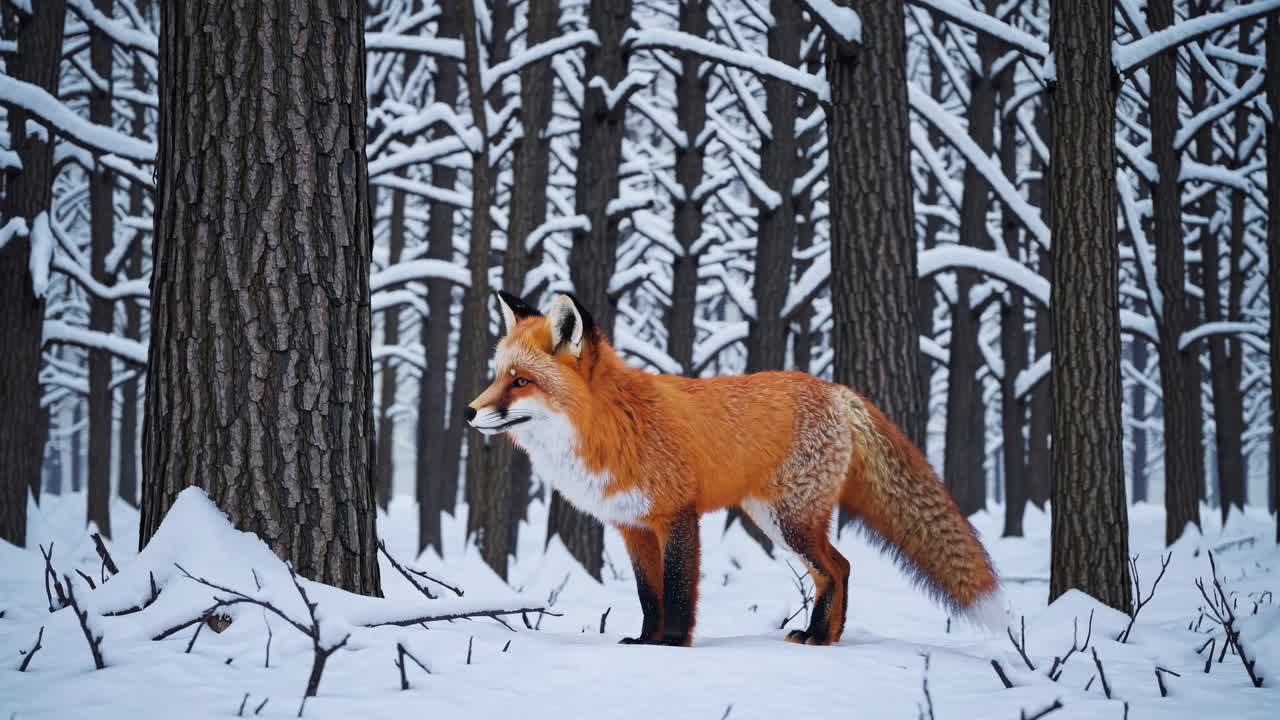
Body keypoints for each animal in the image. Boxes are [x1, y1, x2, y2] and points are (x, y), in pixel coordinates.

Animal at [466, 291, 1004, 647]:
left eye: (521, 381)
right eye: (496, 377)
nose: (470, 412)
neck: (615, 424)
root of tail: (836, 390)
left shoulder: (678, 516)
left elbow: (679, 592)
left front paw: (672, 646)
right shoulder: (632, 527)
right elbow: (648, 596)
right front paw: (645, 642)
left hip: (788, 521)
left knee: (835, 568)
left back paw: (818, 637)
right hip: (774, 520)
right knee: (839, 567)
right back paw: (825, 637)